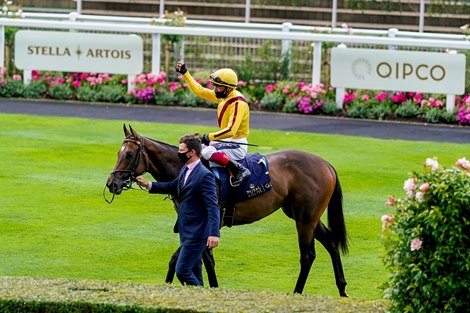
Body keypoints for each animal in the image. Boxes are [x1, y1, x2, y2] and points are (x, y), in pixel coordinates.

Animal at [106, 123, 348, 294]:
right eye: (118, 153)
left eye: (129, 154)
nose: (111, 183)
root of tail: (326, 164)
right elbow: (179, 259)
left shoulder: (208, 222)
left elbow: (205, 261)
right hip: (305, 217)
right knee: (331, 243)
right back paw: (342, 289)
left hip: (305, 219)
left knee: (307, 255)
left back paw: (297, 293)